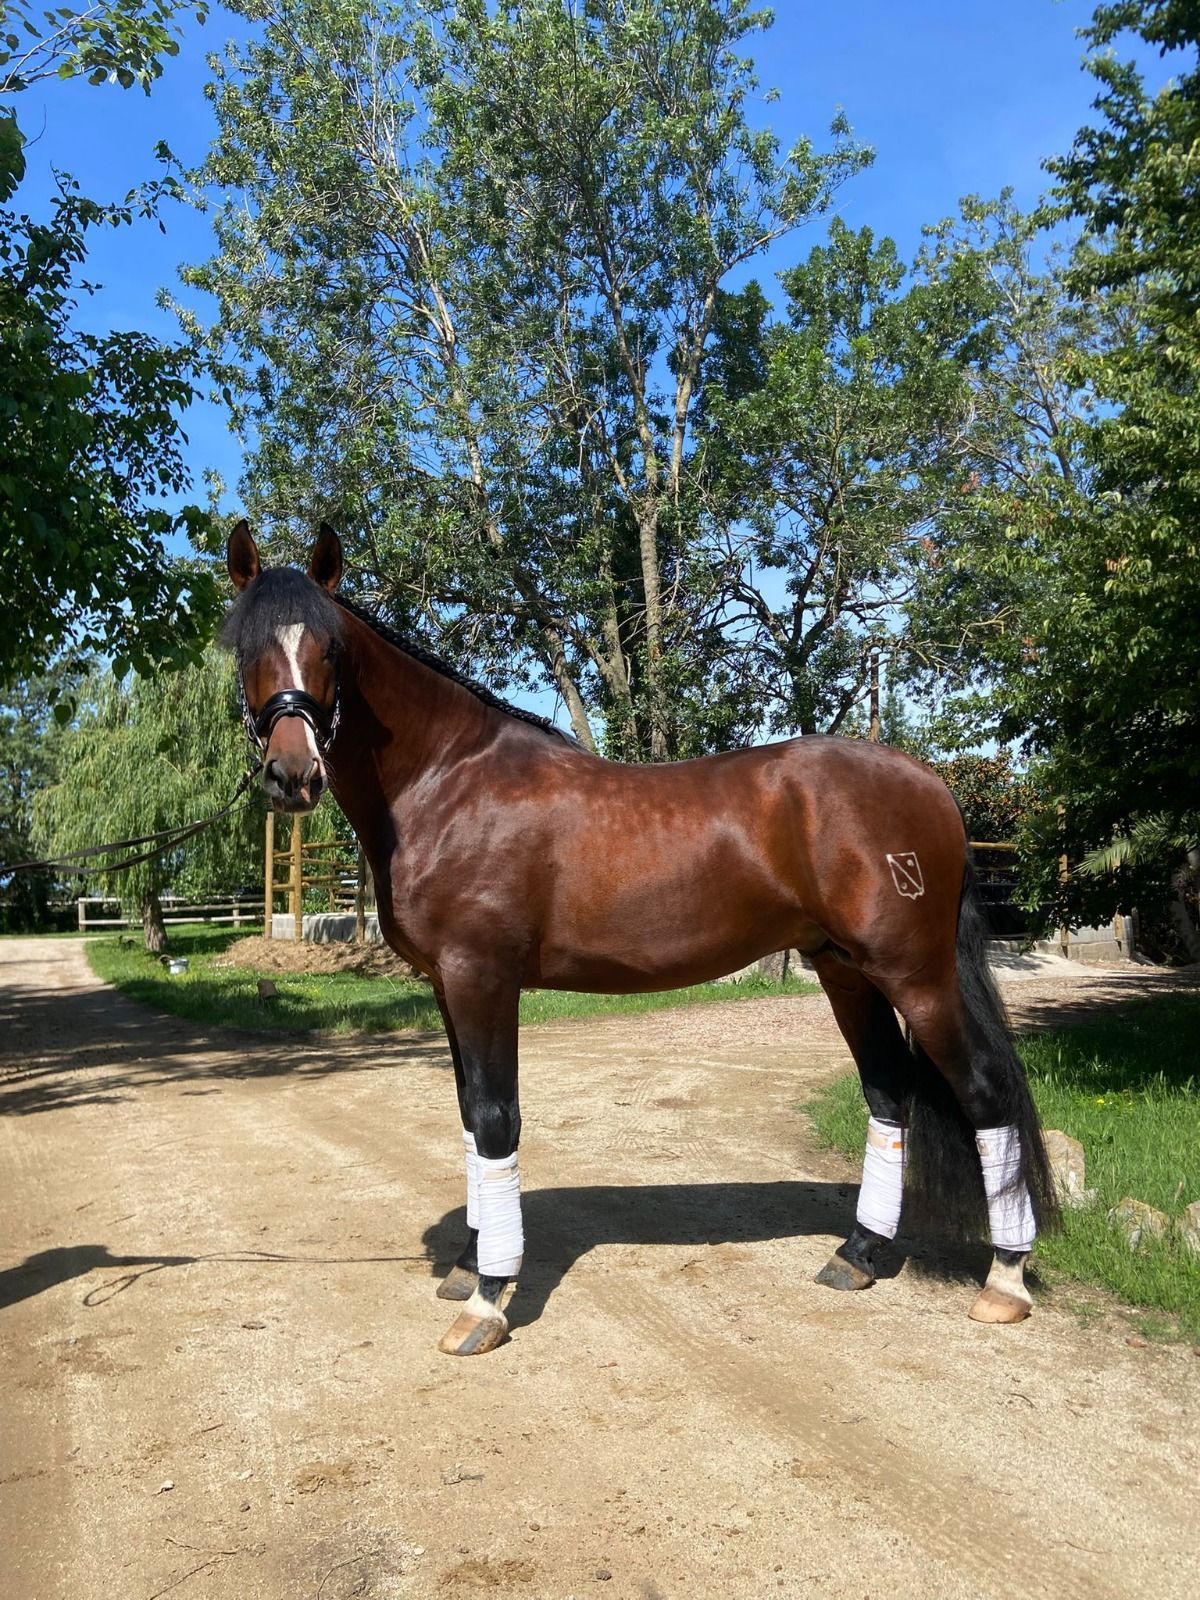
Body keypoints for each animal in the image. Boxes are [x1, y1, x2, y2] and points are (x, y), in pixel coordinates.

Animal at [221, 520, 1057, 1356]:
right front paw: (467, 1265)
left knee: (985, 1091)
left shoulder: (481, 977)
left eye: (331, 651)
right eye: (244, 647)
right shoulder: (447, 985)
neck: (448, 783)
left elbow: (495, 1120)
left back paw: (1004, 1279)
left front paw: (488, 1298)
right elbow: (468, 1119)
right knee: (888, 1092)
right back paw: (856, 1254)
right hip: (845, 970)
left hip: (914, 974)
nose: (292, 775)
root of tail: (931, 783)